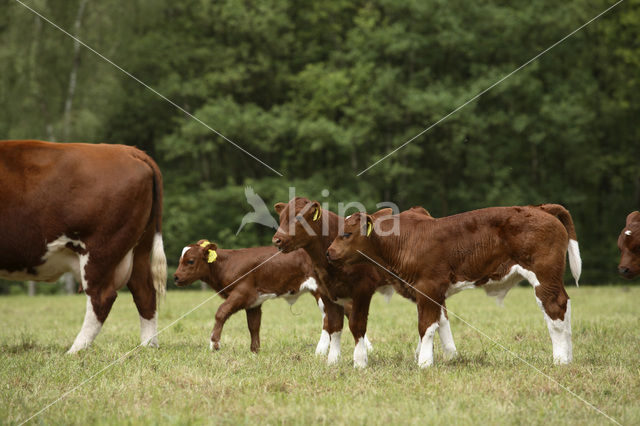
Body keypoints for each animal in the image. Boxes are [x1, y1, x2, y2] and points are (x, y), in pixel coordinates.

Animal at [0, 140, 168, 352]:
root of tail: (129, 150)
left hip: (100, 249)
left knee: (102, 296)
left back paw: (75, 350)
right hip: (139, 249)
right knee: (145, 293)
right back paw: (147, 345)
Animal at [174, 240, 324, 352]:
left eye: (191, 261)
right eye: (180, 260)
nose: (175, 277)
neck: (227, 264)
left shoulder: (242, 293)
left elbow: (221, 312)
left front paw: (214, 344)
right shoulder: (254, 302)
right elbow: (253, 325)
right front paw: (255, 351)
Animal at [272, 198, 398, 368]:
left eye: (298, 217)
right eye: (281, 218)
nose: (276, 239)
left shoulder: (362, 288)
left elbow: (357, 324)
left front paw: (360, 361)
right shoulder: (325, 290)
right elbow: (334, 324)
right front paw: (333, 360)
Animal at [328, 203, 584, 366]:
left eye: (347, 234)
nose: (329, 252)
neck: (405, 241)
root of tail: (539, 208)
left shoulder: (428, 287)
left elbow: (426, 326)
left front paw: (424, 363)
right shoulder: (435, 291)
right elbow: (442, 321)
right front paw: (449, 356)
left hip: (544, 277)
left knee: (555, 309)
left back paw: (560, 359)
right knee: (565, 308)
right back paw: (569, 356)